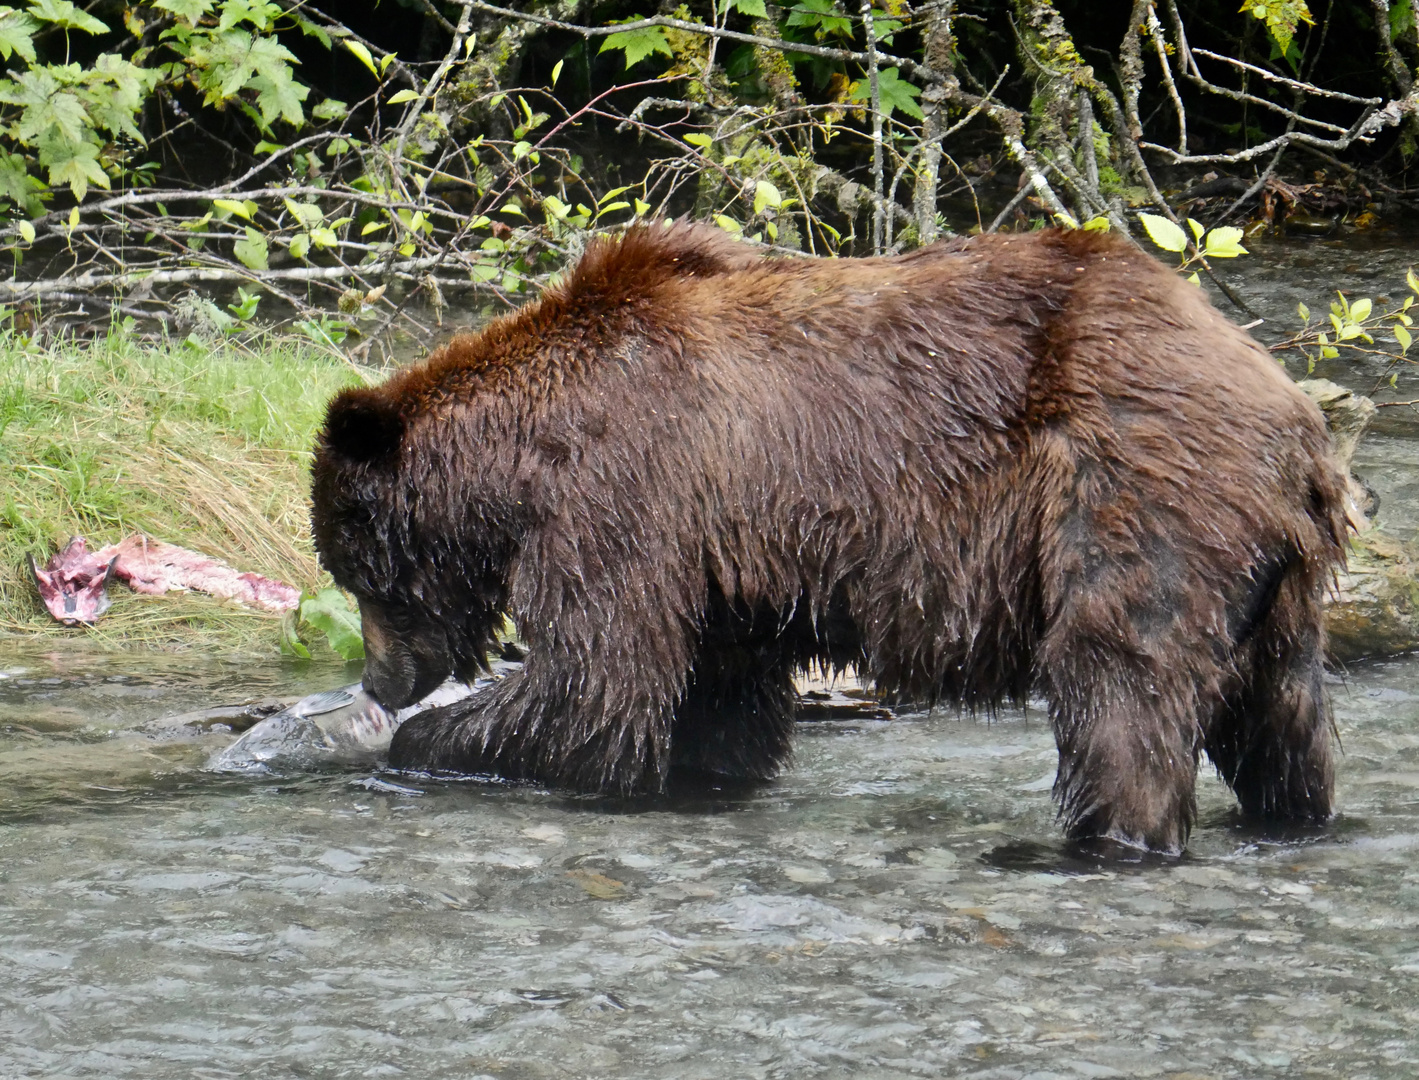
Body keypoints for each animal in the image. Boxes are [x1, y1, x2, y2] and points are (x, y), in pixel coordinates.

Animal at [307, 222, 1339, 857]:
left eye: (359, 574)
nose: (379, 680)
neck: (521, 458)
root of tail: (1292, 414)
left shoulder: (622, 490)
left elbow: (592, 685)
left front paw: (419, 744)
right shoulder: (721, 560)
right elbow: (715, 699)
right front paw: (702, 776)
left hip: (1135, 486)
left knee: (1119, 677)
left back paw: (1099, 839)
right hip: (1270, 572)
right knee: (1280, 716)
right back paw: (1294, 819)